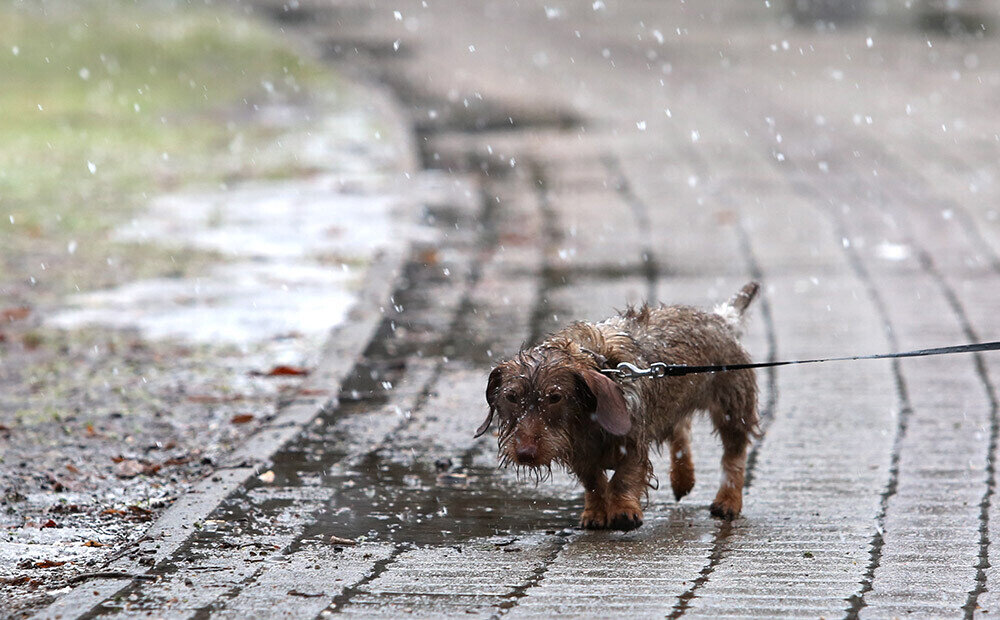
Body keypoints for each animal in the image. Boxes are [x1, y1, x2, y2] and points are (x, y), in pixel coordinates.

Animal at [480, 280, 760, 528]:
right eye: (511, 397)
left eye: (555, 397)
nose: (525, 453)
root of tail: (723, 319)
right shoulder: (580, 454)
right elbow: (593, 482)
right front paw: (595, 512)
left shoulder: (633, 441)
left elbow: (623, 478)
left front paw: (624, 510)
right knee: (680, 430)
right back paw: (682, 478)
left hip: (733, 407)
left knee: (734, 455)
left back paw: (728, 501)